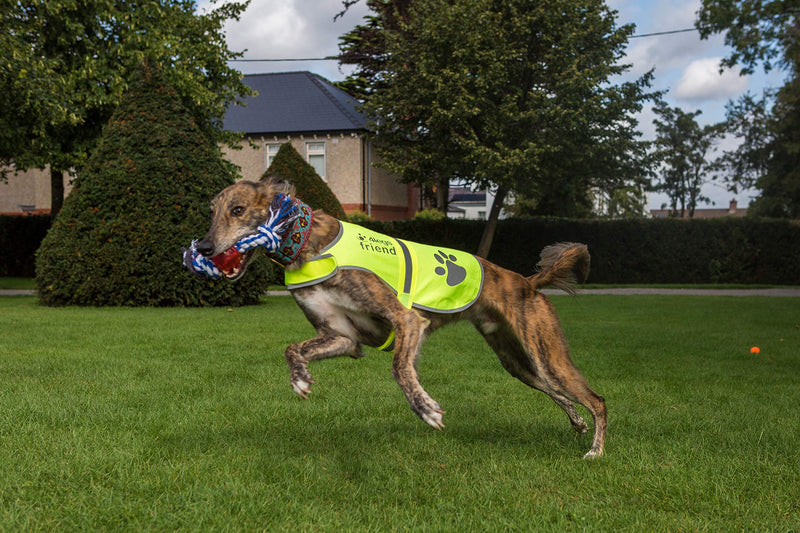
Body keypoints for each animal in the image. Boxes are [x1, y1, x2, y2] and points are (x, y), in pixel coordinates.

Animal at [195, 176, 608, 458]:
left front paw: (426, 409)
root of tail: (527, 282)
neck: (309, 243)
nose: (204, 248)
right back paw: (577, 423)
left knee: (597, 399)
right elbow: (292, 348)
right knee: (563, 395)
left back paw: (595, 450)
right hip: (518, 363)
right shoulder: (341, 336)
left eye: (237, 210)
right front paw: (300, 379)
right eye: (211, 212)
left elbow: (399, 369)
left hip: (546, 353)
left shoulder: (407, 321)